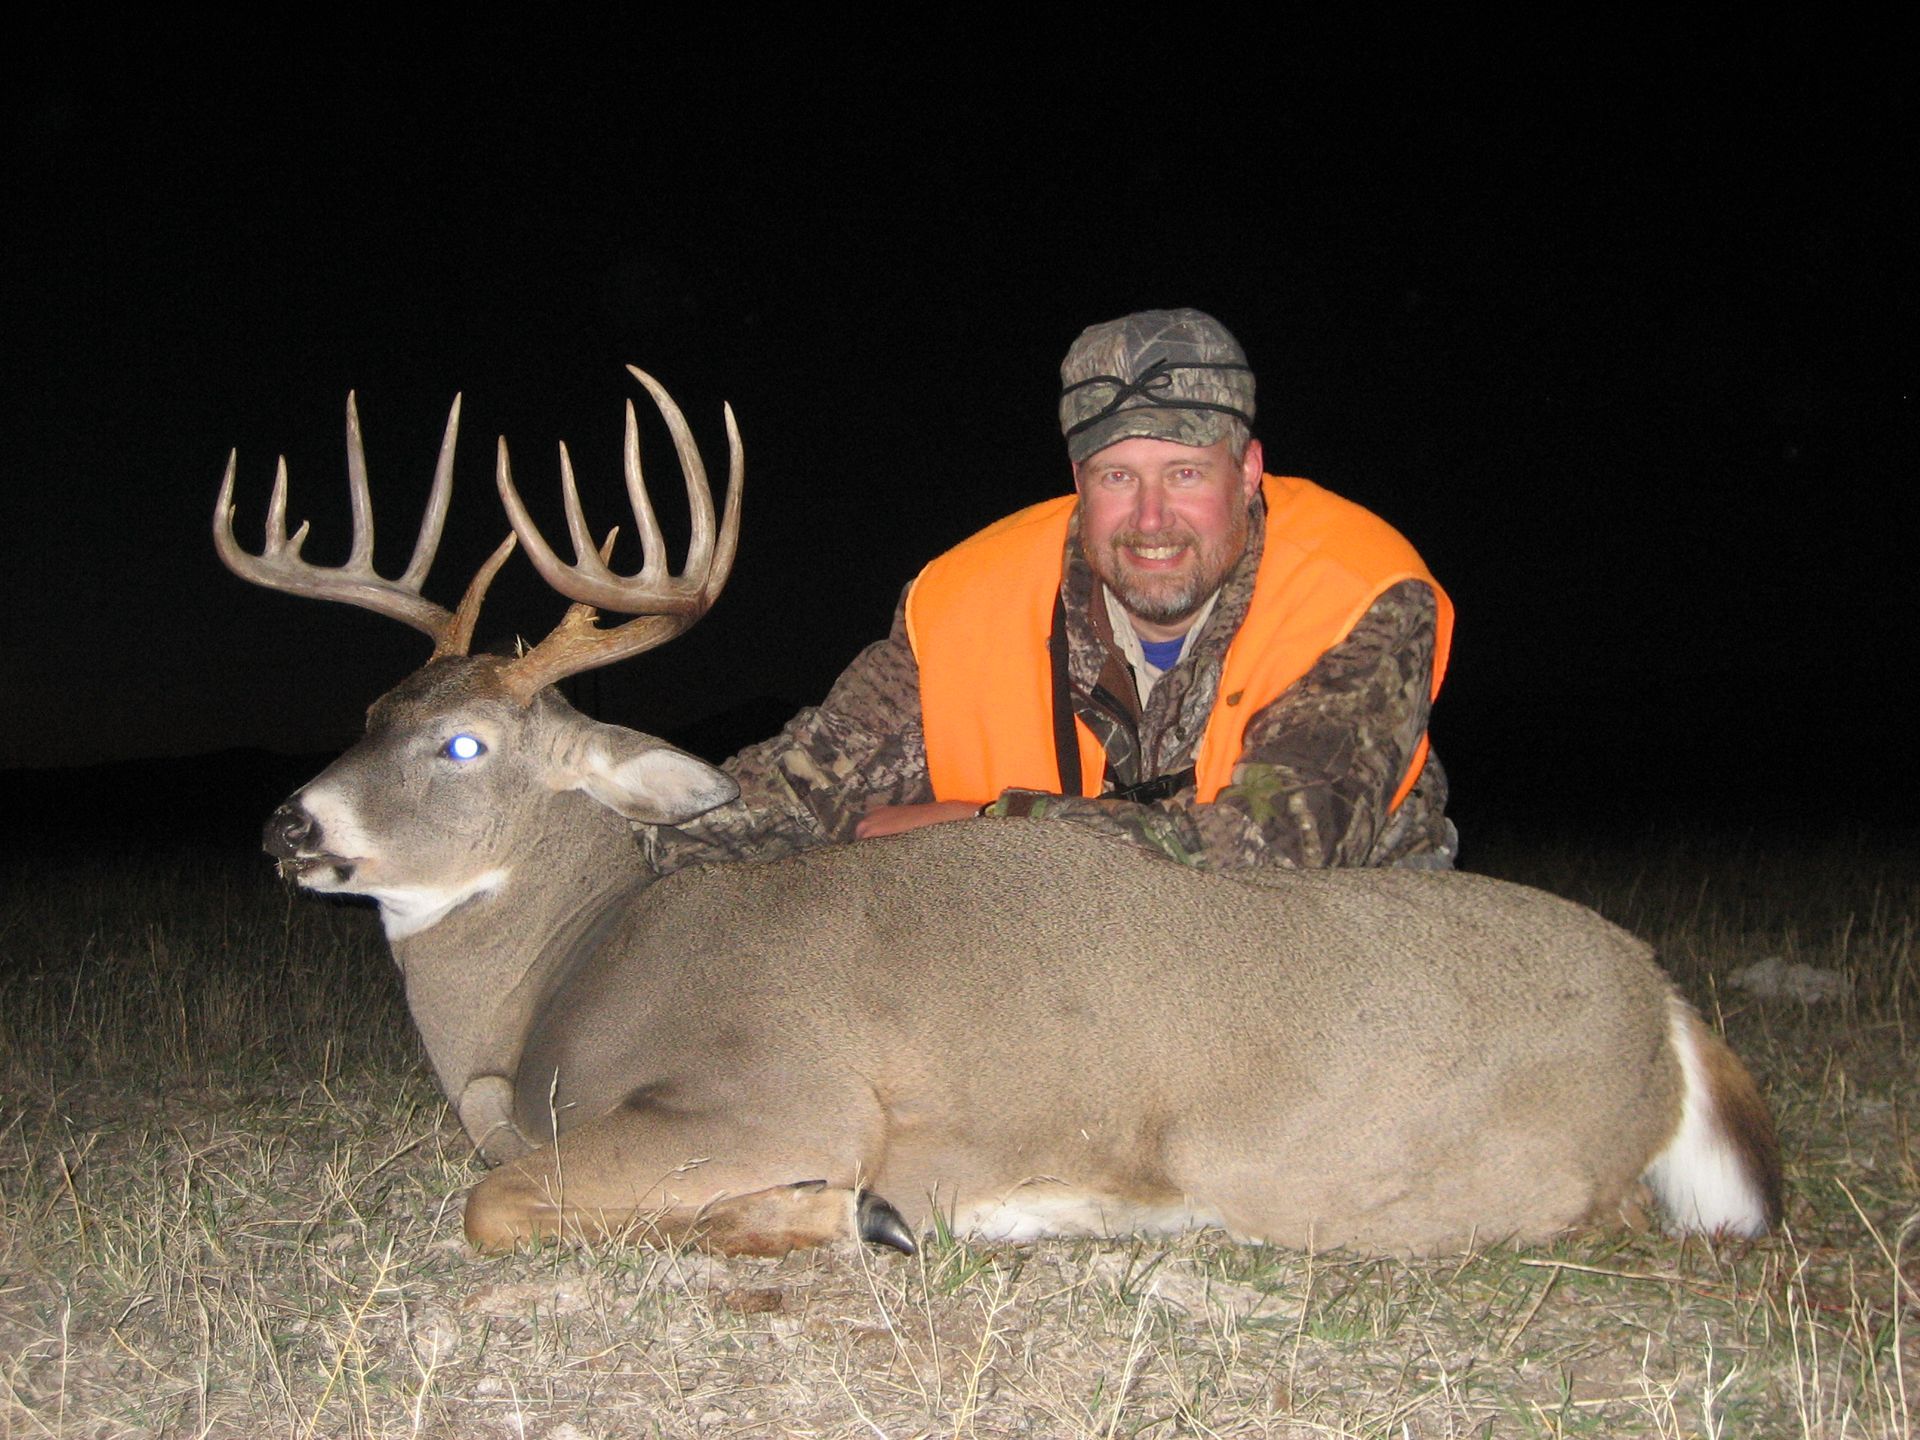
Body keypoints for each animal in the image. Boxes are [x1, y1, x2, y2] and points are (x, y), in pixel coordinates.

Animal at [214, 366, 1782, 1259]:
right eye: (371, 716)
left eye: (465, 742)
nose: (292, 829)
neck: (563, 980)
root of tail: (1664, 1006)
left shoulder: (775, 1091)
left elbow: (495, 1197)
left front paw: (838, 1213)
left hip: (1361, 1165)